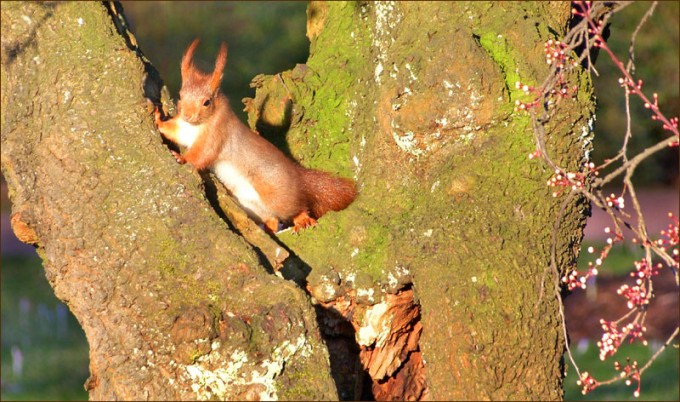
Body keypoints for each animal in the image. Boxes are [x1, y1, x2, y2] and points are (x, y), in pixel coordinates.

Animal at [154, 39, 356, 233]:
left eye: (207, 102)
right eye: (180, 96)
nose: (187, 115)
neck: (196, 125)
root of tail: (298, 176)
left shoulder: (218, 134)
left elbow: (202, 154)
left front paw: (181, 158)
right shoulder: (183, 128)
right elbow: (173, 131)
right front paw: (157, 118)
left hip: (277, 195)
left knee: (296, 207)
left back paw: (302, 219)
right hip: (251, 204)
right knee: (272, 219)